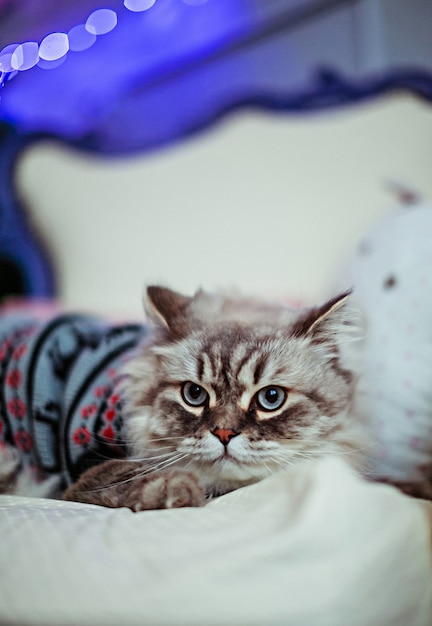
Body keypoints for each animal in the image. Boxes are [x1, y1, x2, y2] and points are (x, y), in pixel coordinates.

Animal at [62, 286, 366, 510]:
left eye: (271, 397)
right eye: (194, 394)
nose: (224, 433)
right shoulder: (83, 478)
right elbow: (130, 473)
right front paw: (176, 489)